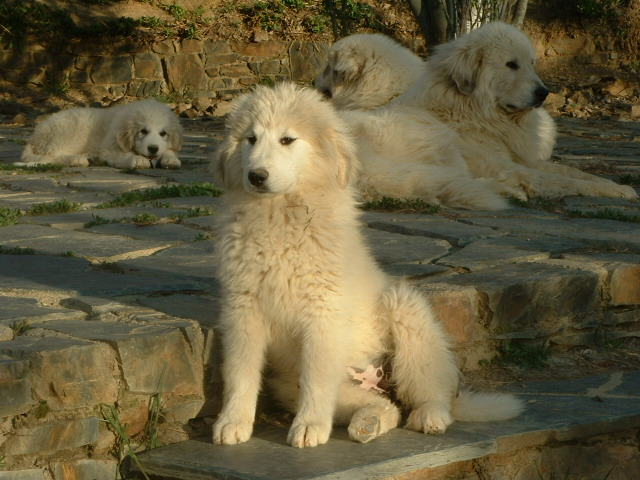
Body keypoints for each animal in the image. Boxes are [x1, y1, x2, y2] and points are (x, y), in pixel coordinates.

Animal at [20, 98, 184, 170]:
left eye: (163, 133)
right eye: (143, 131)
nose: (153, 148)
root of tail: (33, 140)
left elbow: (169, 150)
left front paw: (171, 159)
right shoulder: (109, 149)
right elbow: (124, 155)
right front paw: (137, 160)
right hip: (71, 130)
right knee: (54, 154)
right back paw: (78, 159)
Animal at [210, 83, 524, 450]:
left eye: (287, 140)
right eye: (251, 139)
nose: (256, 176)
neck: (280, 216)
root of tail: (375, 379)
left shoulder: (323, 312)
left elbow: (317, 376)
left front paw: (309, 426)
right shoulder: (243, 308)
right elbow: (240, 371)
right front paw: (233, 421)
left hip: (407, 313)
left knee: (430, 391)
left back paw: (429, 415)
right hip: (294, 384)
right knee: (387, 407)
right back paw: (368, 423)